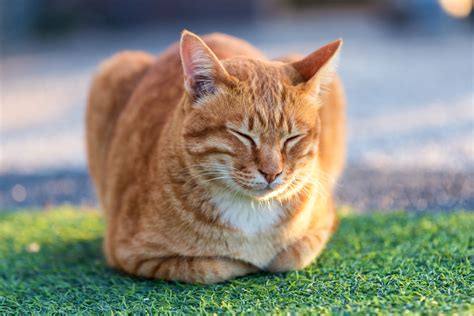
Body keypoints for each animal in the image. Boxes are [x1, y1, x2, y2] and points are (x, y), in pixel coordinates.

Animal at [85, 30, 344, 284]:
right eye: (243, 135)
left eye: (292, 138)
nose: (272, 173)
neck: (251, 211)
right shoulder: (132, 254)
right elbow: (215, 267)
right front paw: (246, 262)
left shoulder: (322, 226)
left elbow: (291, 257)